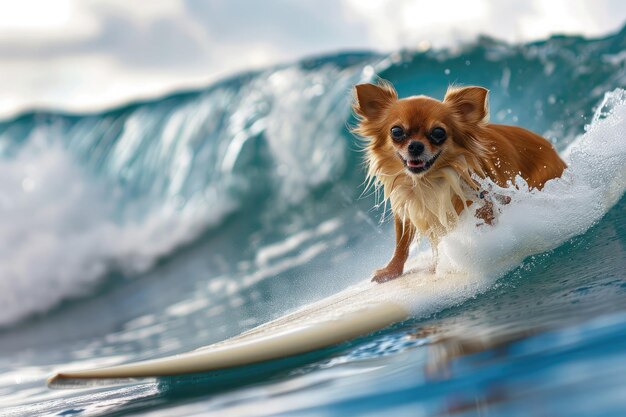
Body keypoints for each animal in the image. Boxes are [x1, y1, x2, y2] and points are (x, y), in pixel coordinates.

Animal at [352, 80, 564, 282]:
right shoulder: (406, 208)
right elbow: (401, 243)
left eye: (438, 133)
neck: (427, 182)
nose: (415, 146)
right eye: (396, 132)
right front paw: (391, 271)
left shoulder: (479, 201)